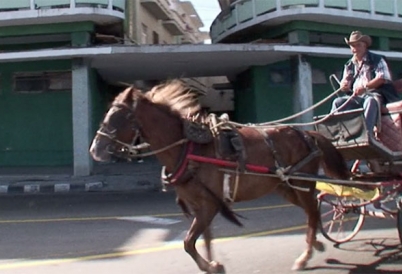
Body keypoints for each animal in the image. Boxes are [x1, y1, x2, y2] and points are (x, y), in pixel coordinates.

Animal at [89, 79, 350, 272]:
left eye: (122, 117)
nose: (95, 150)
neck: (189, 147)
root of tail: (306, 134)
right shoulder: (200, 205)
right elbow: (203, 240)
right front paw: (213, 264)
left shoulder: (209, 205)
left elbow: (188, 242)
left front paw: (210, 265)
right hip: (286, 187)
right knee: (311, 211)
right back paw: (315, 243)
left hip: (301, 184)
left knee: (312, 211)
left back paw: (305, 255)